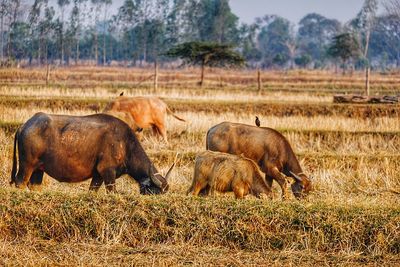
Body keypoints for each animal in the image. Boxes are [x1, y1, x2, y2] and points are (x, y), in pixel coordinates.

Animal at [10, 112, 173, 195]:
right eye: (154, 192)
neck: (125, 144)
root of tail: (24, 126)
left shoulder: (98, 175)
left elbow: (92, 190)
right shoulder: (107, 172)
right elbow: (112, 191)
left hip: (38, 169)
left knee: (34, 185)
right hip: (26, 166)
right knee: (20, 182)